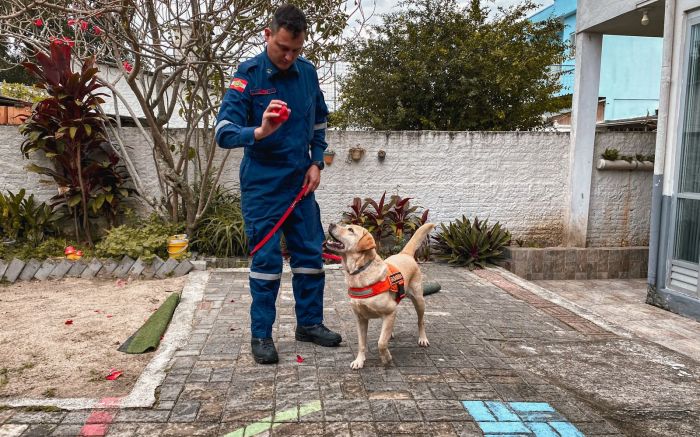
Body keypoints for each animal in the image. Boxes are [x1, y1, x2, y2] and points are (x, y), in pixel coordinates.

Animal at [326, 221, 434, 368]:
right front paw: (359, 361)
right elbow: (361, 343)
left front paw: (386, 358)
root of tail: (405, 253)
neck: (360, 271)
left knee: (420, 320)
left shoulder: (389, 311)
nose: (331, 224)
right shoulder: (360, 318)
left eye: (350, 230)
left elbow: (381, 342)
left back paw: (422, 338)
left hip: (419, 300)